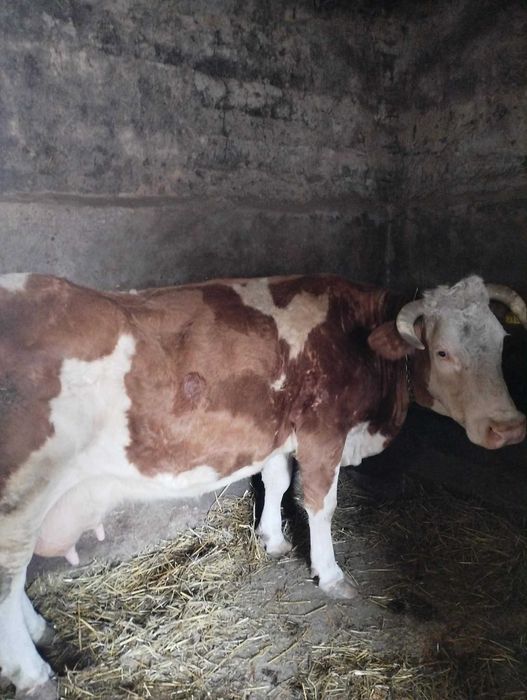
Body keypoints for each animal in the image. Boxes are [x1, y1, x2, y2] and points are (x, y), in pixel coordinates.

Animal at [0, 272, 526, 698]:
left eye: (502, 341)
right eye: (442, 351)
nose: (509, 428)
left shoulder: (278, 430)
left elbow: (275, 479)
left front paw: (271, 538)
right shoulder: (323, 431)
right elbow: (320, 502)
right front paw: (330, 574)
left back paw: (42, 632)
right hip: (22, 498)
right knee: (8, 577)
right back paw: (34, 674)